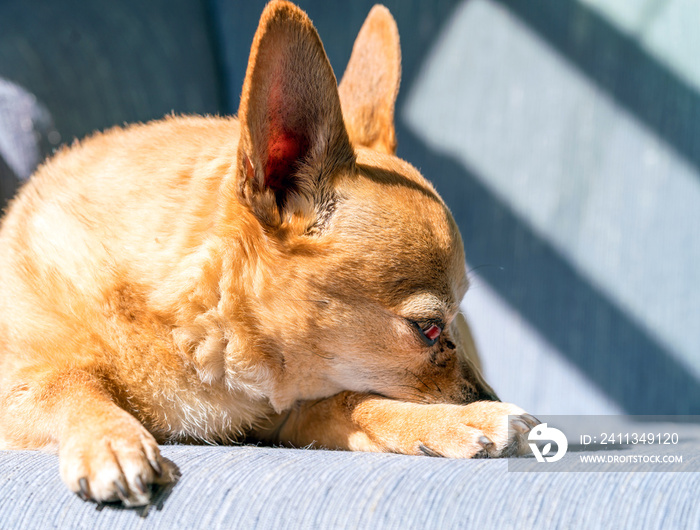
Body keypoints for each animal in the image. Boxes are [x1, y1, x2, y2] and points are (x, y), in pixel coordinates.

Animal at [0, 0, 536, 504]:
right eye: (428, 330)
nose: (487, 393)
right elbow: (63, 383)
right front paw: (111, 437)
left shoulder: (284, 417)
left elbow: (349, 401)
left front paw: (458, 420)